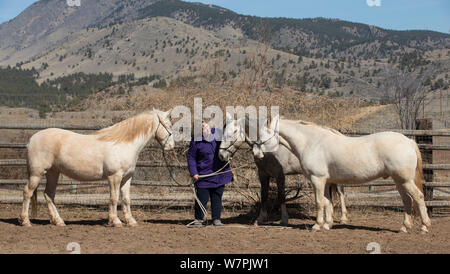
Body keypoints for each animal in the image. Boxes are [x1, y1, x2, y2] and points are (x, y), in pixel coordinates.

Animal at [18, 108, 174, 227]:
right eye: (169, 125)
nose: (171, 146)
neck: (123, 144)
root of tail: (31, 139)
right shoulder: (114, 177)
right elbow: (114, 198)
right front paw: (116, 221)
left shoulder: (127, 177)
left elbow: (126, 199)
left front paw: (131, 221)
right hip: (37, 173)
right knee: (27, 192)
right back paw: (25, 221)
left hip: (53, 173)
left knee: (49, 195)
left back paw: (59, 221)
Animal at [218, 113, 348, 225]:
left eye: (233, 132)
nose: (221, 155)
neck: (270, 149)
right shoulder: (263, 174)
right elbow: (264, 195)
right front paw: (260, 218)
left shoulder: (279, 175)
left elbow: (281, 196)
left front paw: (284, 219)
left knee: (340, 193)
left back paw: (343, 218)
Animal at [251, 116, 430, 232]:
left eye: (263, 136)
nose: (256, 154)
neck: (311, 142)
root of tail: (408, 141)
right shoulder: (326, 181)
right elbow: (328, 202)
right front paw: (327, 224)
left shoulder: (317, 180)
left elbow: (319, 202)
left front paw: (317, 225)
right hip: (400, 181)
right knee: (407, 201)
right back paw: (404, 227)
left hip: (405, 181)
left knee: (419, 197)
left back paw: (424, 226)